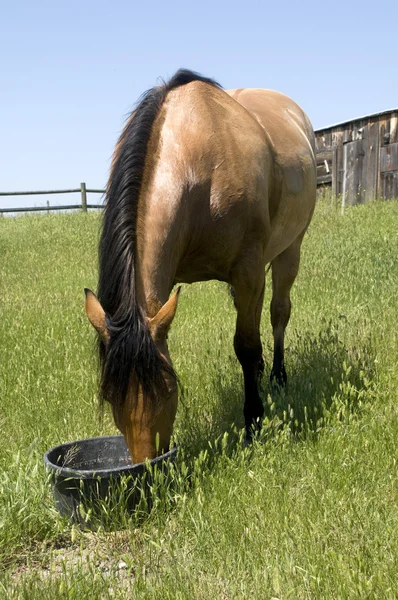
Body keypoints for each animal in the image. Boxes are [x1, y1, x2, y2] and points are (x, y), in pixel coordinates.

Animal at [84, 70, 318, 464]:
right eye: (111, 397)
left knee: (278, 313)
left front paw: (252, 423)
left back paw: (277, 378)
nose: (148, 467)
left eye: (168, 390)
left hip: (290, 250)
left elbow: (246, 345)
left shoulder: (248, 270)